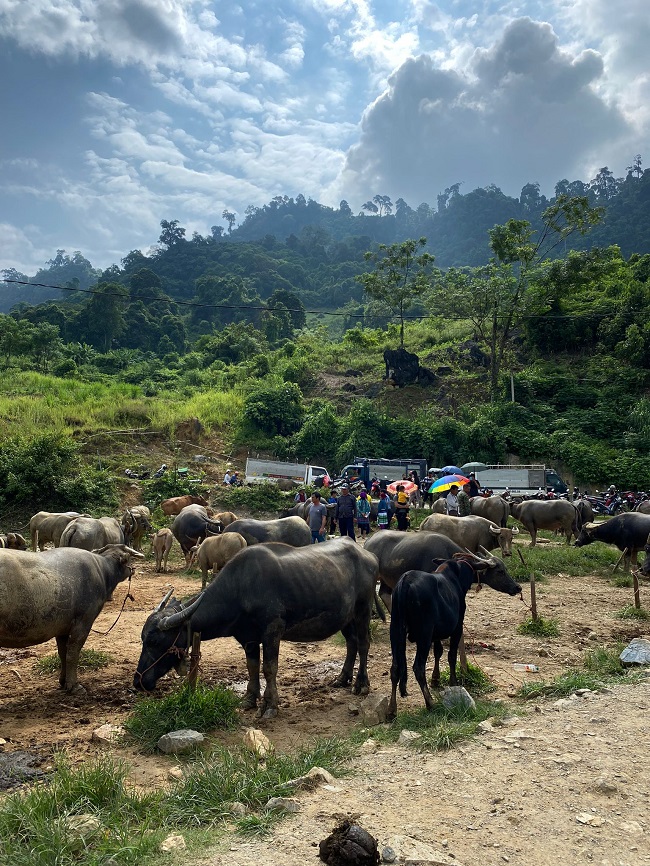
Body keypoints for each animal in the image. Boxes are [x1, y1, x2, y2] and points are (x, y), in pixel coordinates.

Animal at [0, 544, 143, 692]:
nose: (133, 569)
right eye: (129, 558)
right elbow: (72, 654)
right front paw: (74, 685)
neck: (103, 571)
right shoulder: (83, 623)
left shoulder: (61, 628)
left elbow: (63, 653)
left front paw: (63, 681)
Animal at [135, 540, 380, 716]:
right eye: (143, 639)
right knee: (352, 643)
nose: (138, 681)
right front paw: (249, 700)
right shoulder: (248, 639)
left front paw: (270, 705)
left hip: (363, 610)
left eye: (154, 641)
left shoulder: (273, 631)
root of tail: (370, 556)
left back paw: (361, 684)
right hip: (345, 618)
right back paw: (342, 678)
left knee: (364, 644)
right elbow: (252, 667)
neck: (240, 589)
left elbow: (269, 668)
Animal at [362, 528, 512, 608]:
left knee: (384, 594)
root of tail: (369, 541)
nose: (516, 587)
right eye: (500, 571)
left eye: (506, 569)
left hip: (387, 579)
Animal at [388, 556, 520, 720]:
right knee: (418, 668)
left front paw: (436, 679)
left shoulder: (436, 633)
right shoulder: (457, 627)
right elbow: (451, 656)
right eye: (500, 571)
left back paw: (392, 709)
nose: (518, 587)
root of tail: (405, 581)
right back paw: (430, 703)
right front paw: (453, 682)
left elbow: (438, 652)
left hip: (395, 632)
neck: (458, 574)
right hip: (424, 636)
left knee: (395, 668)